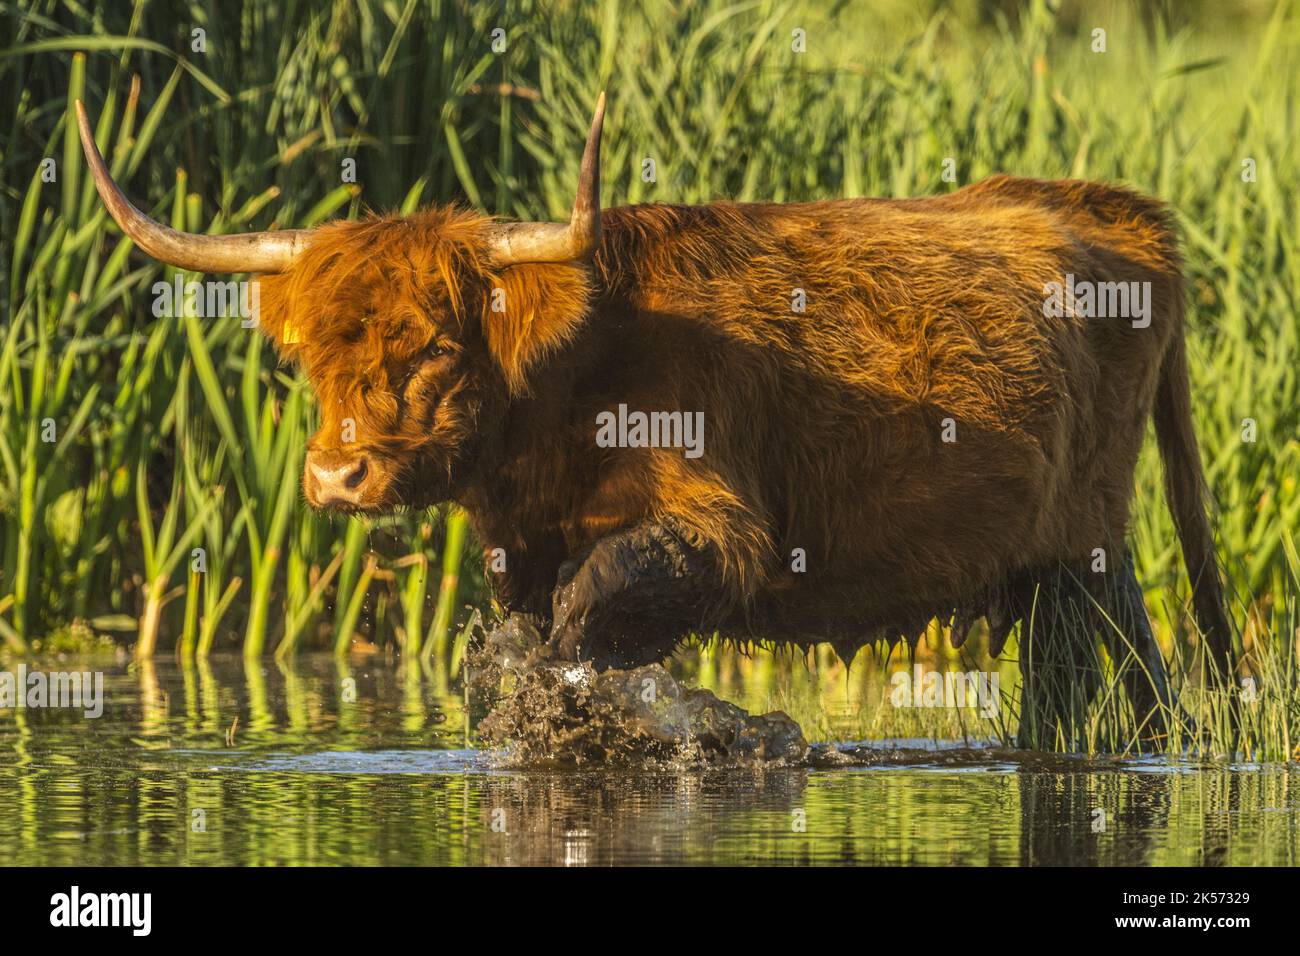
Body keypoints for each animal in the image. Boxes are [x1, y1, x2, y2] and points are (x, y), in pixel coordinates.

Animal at [76, 95, 1232, 738]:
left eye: (437, 345)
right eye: (313, 359)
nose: (333, 477)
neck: (571, 393)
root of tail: (1110, 207)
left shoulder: (722, 524)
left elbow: (595, 605)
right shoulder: (518, 549)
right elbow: (510, 647)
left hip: (1089, 542)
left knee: (1137, 675)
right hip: (1043, 566)